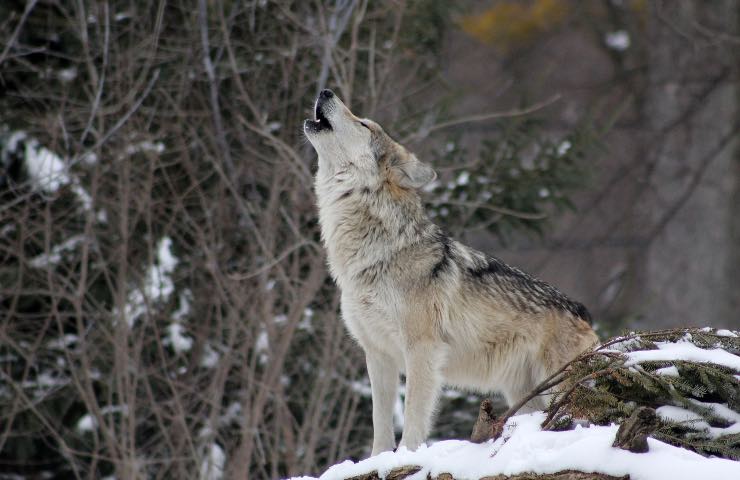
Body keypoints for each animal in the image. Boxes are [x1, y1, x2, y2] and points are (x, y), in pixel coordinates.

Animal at [304, 89, 600, 454]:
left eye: (364, 124)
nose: (325, 91)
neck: (377, 252)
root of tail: (582, 311)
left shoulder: (422, 349)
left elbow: (413, 415)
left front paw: (407, 455)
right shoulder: (377, 354)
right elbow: (380, 423)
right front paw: (378, 459)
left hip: (558, 387)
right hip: (525, 396)